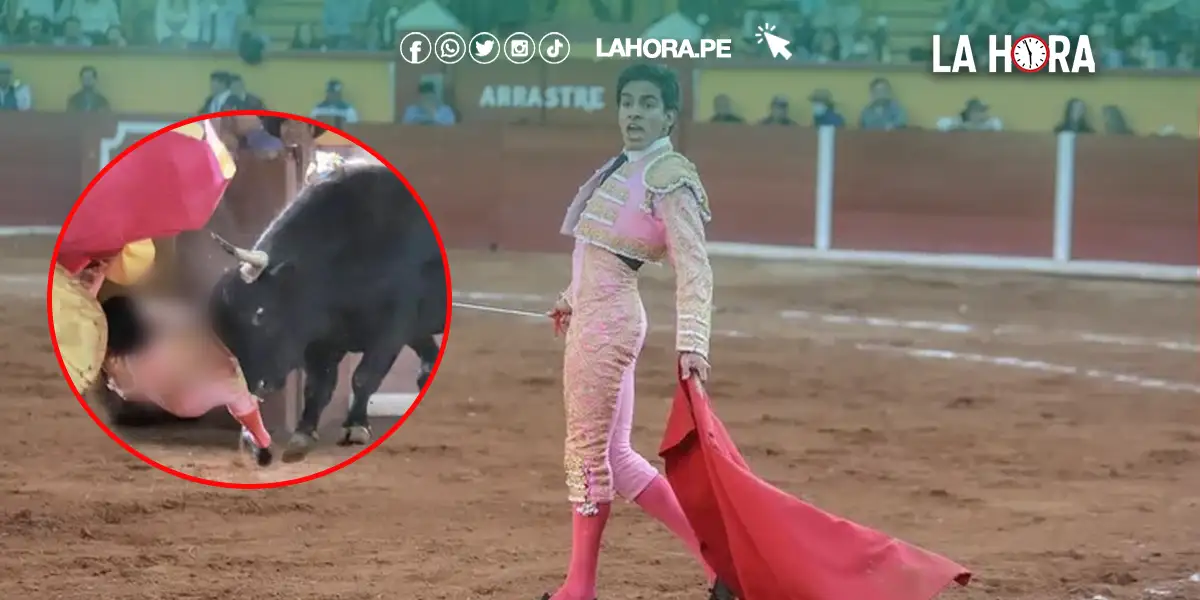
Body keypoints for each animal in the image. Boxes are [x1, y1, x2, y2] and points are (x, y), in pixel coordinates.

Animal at [208, 162, 448, 460]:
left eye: (260, 313)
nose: (255, 386)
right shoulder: (320, 340)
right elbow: (318, 387)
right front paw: (304, 431)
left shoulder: (391, 328)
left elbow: (364, 377)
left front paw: (355, 426)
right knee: (428, 360)